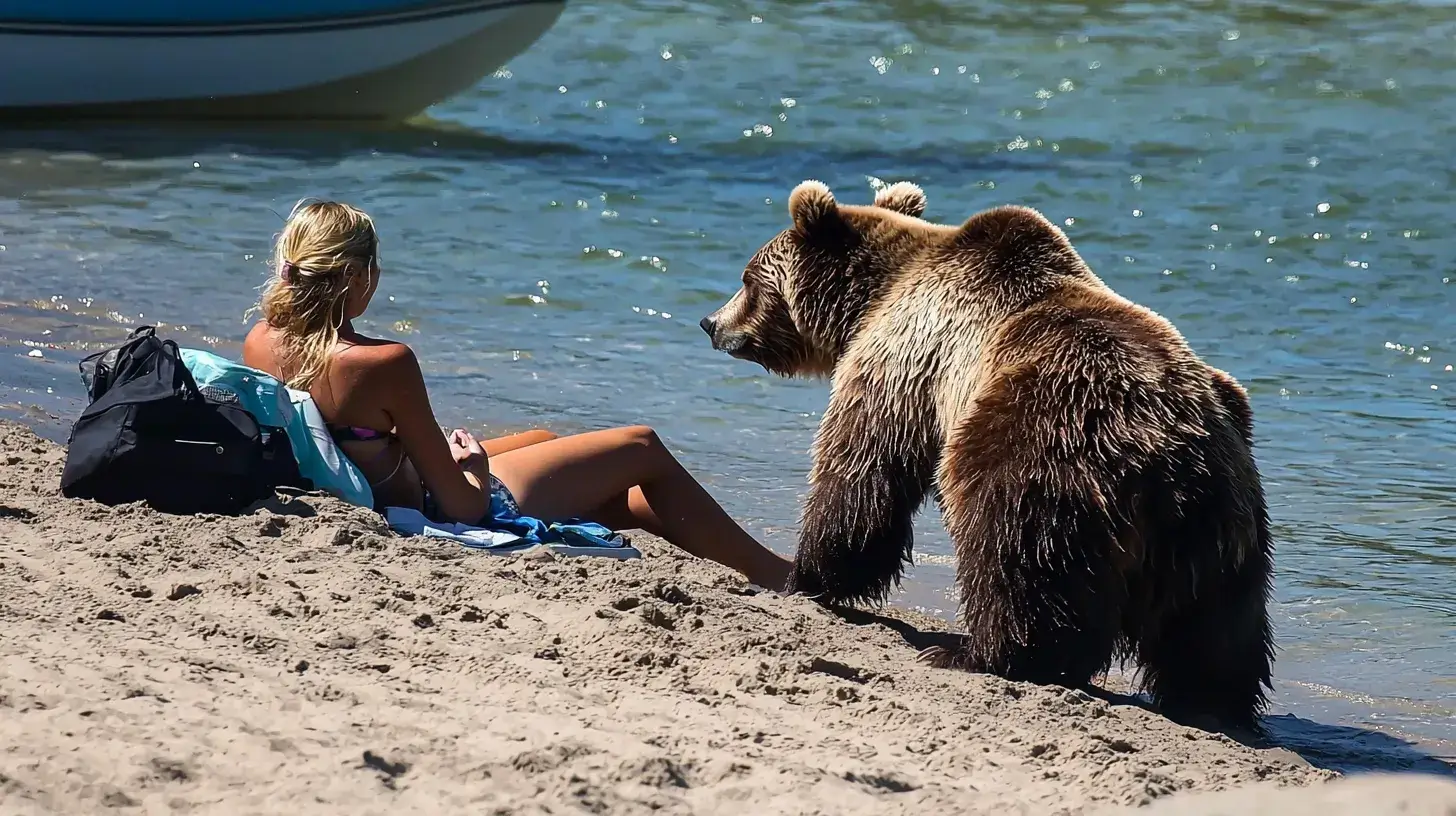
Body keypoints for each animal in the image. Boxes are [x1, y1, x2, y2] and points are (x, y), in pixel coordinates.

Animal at [699, 179, 1276, 733]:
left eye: (748, 278)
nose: (710, 322)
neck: (872, 298)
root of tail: (1168, 449)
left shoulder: (905, 363)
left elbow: (863, 473)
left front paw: (800, 579)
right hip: (1222, 523)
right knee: (1216, 625)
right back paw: (1215, 701)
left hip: (1040, 440)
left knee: (1015, 552)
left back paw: (975, 653)